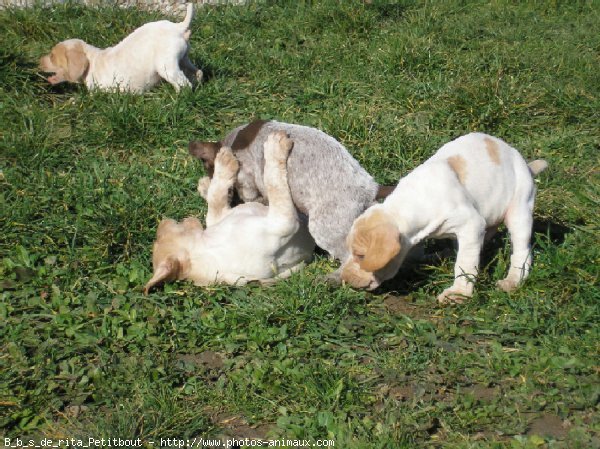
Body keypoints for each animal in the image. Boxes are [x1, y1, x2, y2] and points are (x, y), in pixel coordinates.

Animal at [40, 3, 204, 93]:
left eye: (52, 56)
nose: (38, 62)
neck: (92, 61)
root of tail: (178, 27)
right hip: (183, 59)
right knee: (198, 73)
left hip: (166, 66)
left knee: (184, 84)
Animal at [144, 131, 316, 292]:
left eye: (159, 235)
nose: (164, 220)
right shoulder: (283, 222)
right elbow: (273, 181)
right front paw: (275, 147)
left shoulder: (220, 216)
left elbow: (216, 197)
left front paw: (221, 166)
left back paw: (205, 186)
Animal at [338, 131, 548, 302]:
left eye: (361, 255)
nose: (344, 279)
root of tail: (523, 162)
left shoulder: (471, 225)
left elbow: (465, 263)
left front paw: (459, 293)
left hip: (519, 210)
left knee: (521, 251)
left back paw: (512, 281)